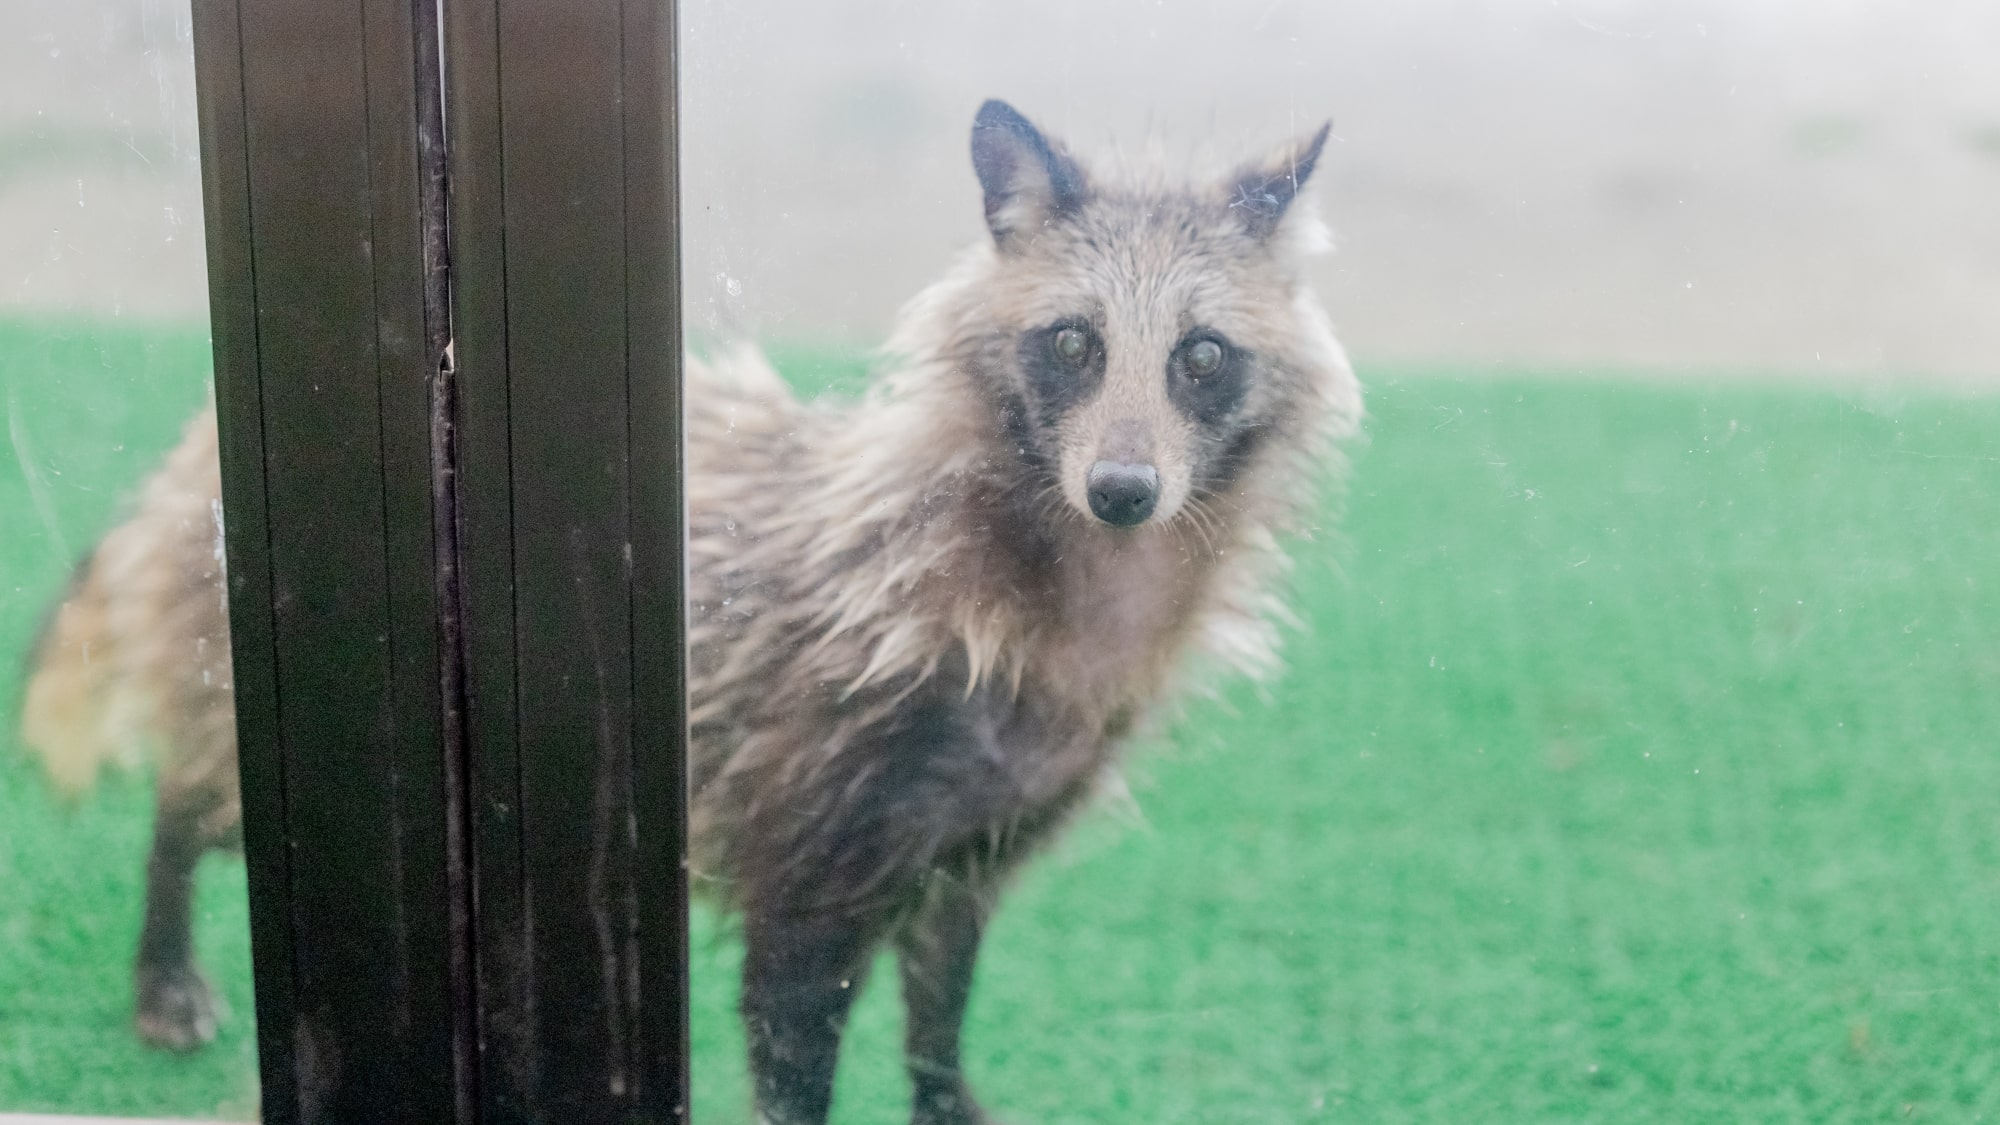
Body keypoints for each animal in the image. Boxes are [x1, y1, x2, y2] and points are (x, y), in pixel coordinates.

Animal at [19, 100, 1360, 1112]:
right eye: (1073, 343)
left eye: (1199, 357)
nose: (1123, 490)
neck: (1065, 605)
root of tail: (193, 451)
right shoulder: (814, 830)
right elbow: (794, 1045)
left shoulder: (972, 846)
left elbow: (939, 1015)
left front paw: (946, 1098)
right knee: (197, 797)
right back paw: (162, 962)